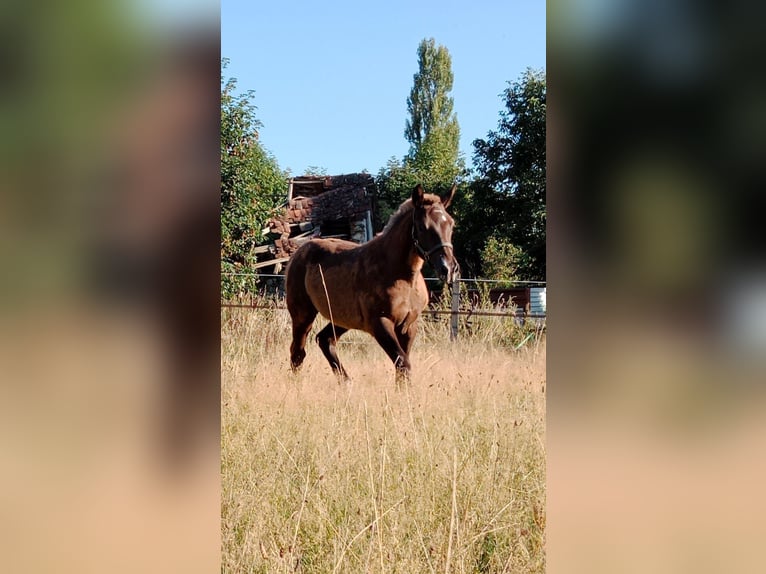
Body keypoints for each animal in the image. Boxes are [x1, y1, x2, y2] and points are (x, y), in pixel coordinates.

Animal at [284, 183, 459, 384]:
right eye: (423, 227)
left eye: (451, 224)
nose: (448, 268)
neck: (402, 276)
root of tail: (297, 254)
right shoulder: (380, 323)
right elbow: (403, 364)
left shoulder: (409, 326)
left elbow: (402, 365)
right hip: (302, 315)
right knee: (298, 353)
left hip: (342, 318)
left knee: (324, 340)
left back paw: (347, 383)